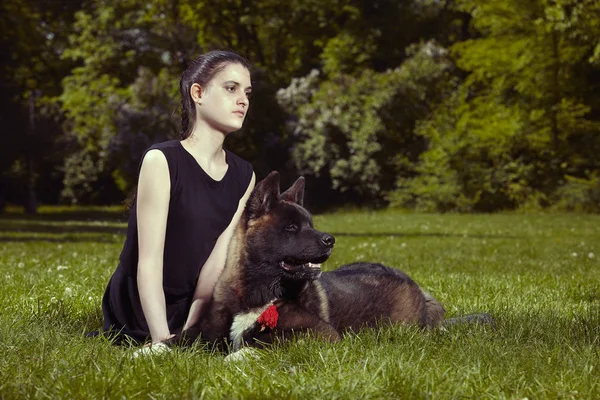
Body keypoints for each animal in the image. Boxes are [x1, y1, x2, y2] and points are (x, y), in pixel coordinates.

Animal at [170, 172, 492, 354]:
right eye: (291, 228)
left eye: (310, 224)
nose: (330, 240)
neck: (256, 292)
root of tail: (419, 290)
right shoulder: (204, 331)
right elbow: (173, 339)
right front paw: (154, 352)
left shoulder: (320, 335)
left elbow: (262, 346)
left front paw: (234, 357)